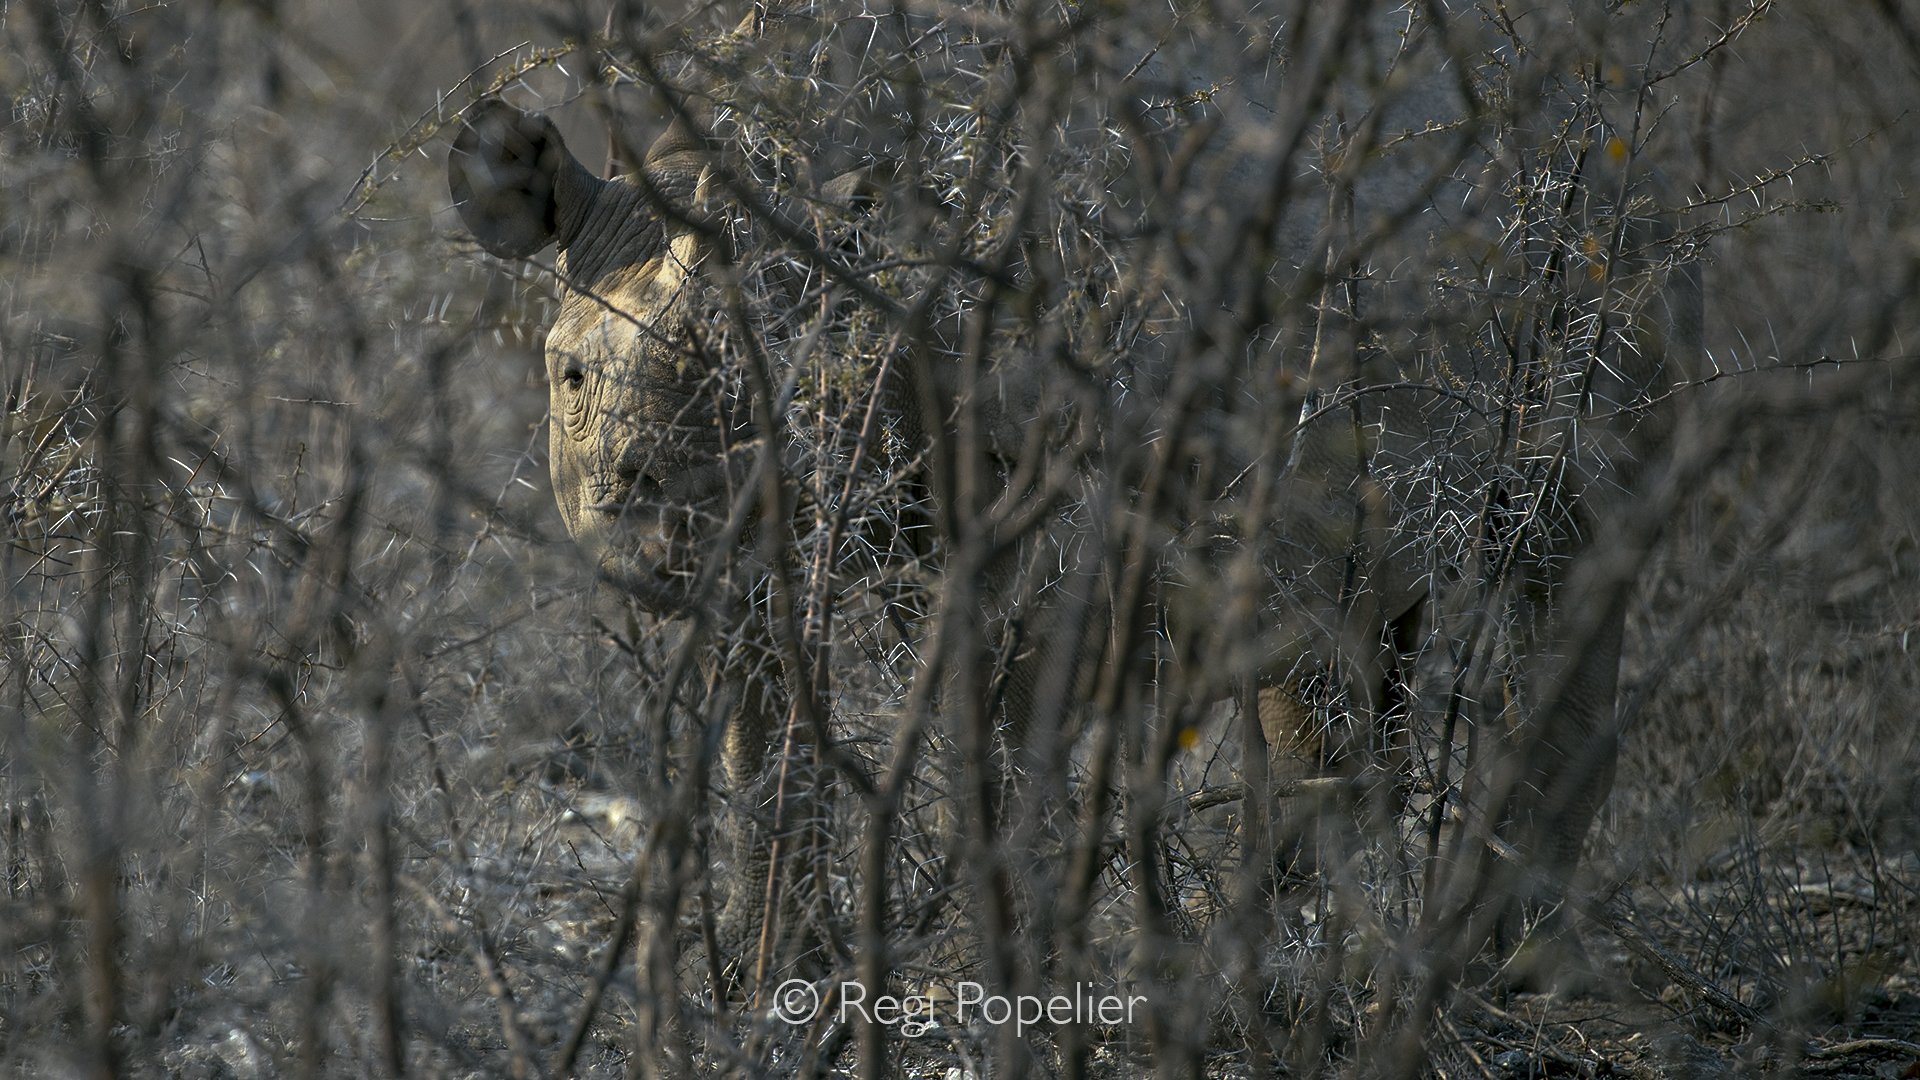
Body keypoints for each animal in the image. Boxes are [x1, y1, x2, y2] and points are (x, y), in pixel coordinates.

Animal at [447, 1, 1699, 995]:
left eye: (784, 390)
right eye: (569, 378)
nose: (644, 541)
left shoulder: (1033, 532)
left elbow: (1004, 745)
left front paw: (1008, 977)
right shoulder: (770, 554)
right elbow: (767, 759)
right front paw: (781, 984)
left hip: (1606, 238)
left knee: (1547, 565)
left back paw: (1489, 972)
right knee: (1343, 649)